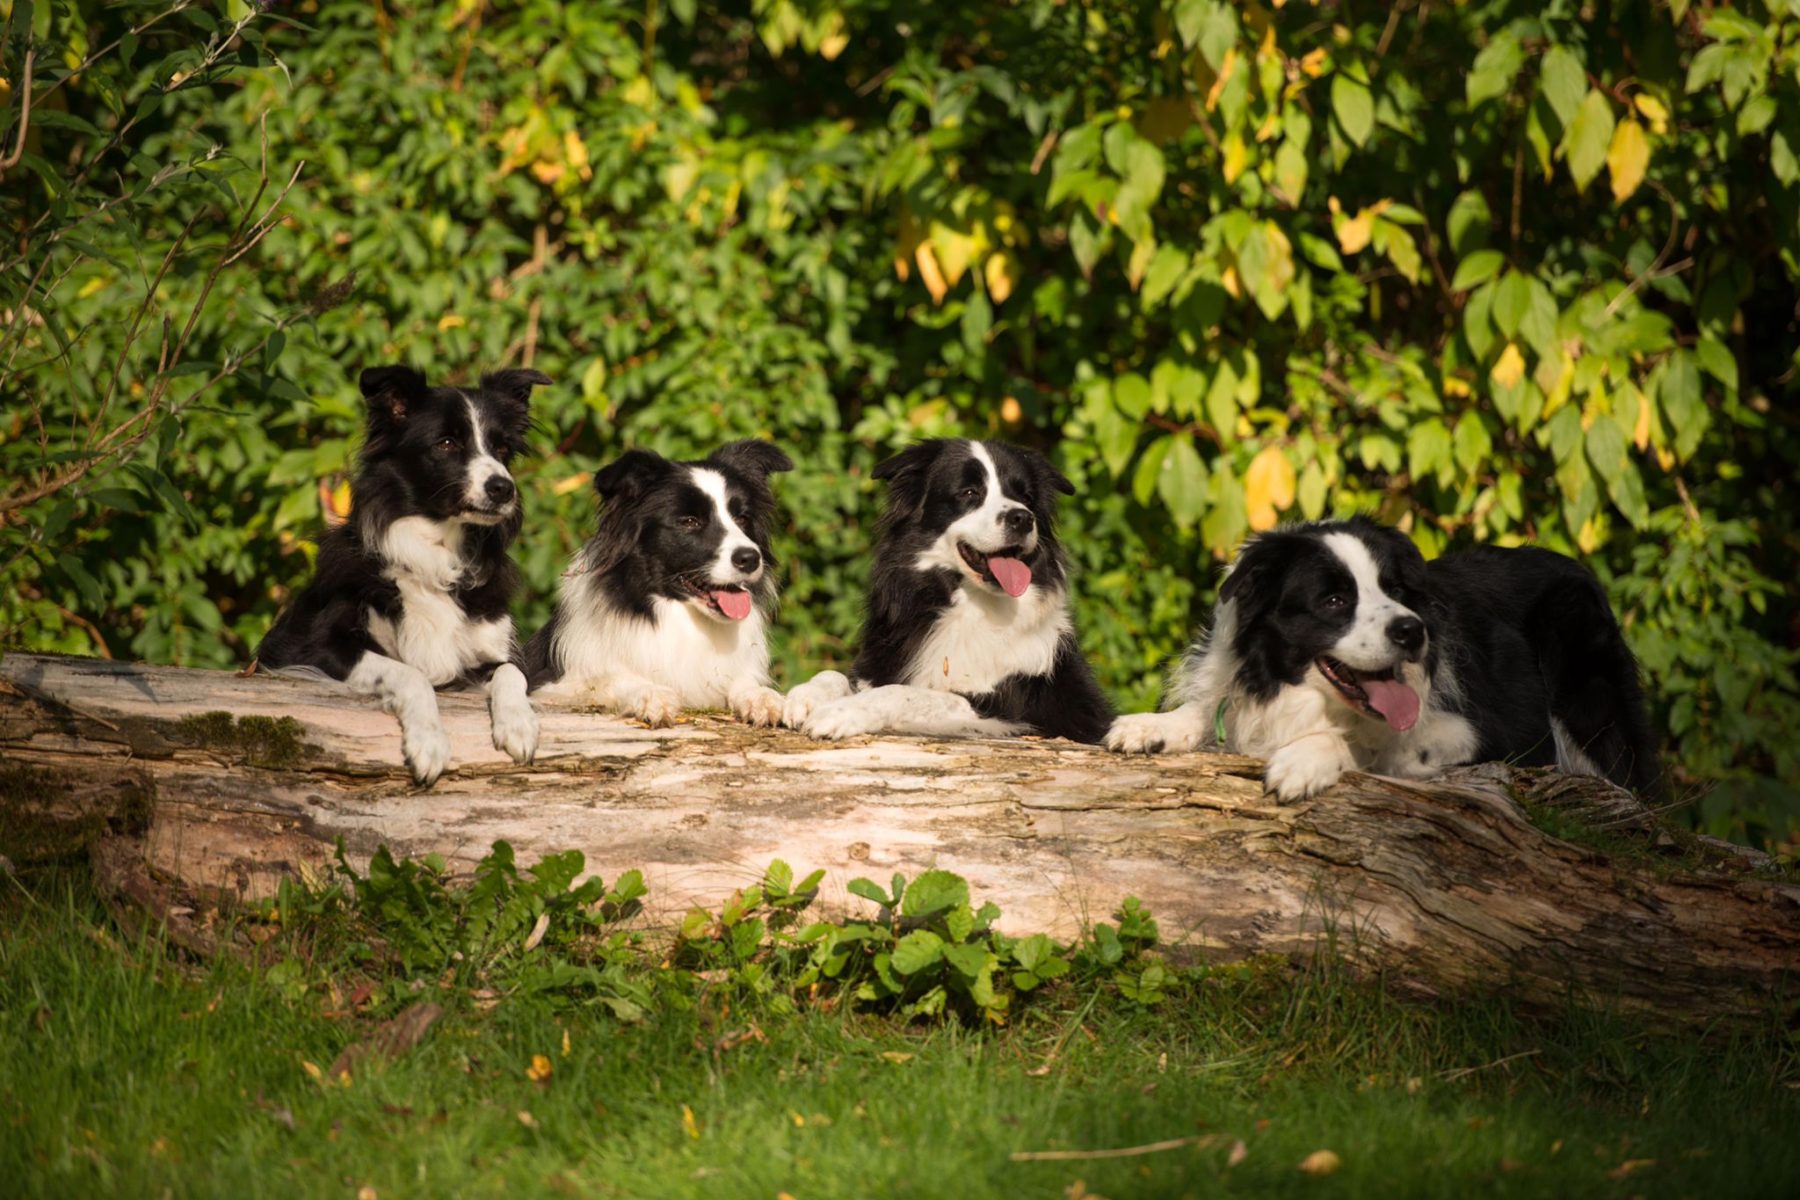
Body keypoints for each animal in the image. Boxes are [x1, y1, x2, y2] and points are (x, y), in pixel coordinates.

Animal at [253, 367, 547, 788]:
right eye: (446, 443)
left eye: (502, 449)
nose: (503, 488)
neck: (438, 552)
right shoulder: (311, 648)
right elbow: (410, 673)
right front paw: (429, 743)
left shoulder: (491, 650)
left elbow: (511, 671)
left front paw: (520, 724)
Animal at [525, 438, 795, 726]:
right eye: (690, 521)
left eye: (742, 518)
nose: (750, 558)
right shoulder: (550, 683)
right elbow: (608, 678)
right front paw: (650, 694)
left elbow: (741, 682)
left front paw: (761, 697)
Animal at [784, 440, 1108, 741]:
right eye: (969, 493)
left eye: (1026, 497)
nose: (1023, 518)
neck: (968, 605)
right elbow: (836, 674)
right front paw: (804, 696)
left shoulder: (1010, 708)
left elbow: (906, 693)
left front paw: (841, 712)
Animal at [1101, 521, 1663, 802]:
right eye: (1333, 601)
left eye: (1395, 590)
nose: (1412, 632)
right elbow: (1206, 711)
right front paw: (1151, 726)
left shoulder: (1496, 733)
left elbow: (1376, 745)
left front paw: (1305, 759)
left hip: (1580, 667)